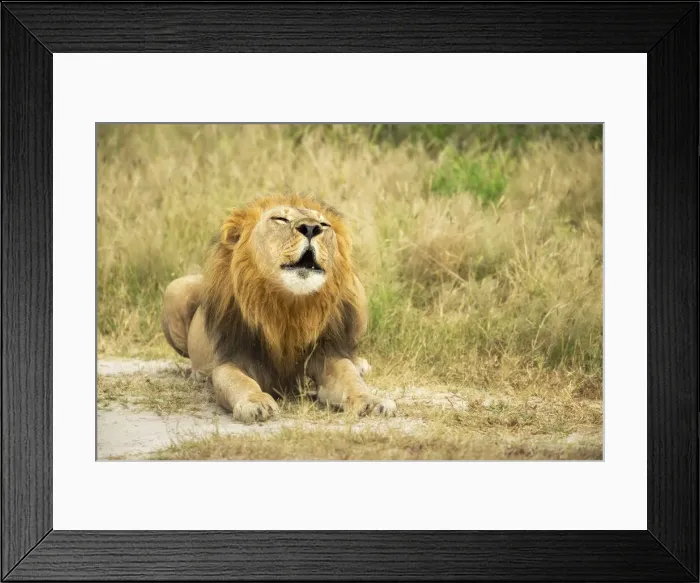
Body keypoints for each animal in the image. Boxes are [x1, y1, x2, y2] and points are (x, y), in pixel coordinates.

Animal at [161, 194, 396, 423]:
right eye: (280, 219)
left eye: (323, 224)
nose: (311, 228)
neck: (289, 304)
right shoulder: (232, 359)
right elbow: (239, 383)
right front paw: (255, 403)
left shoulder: (326, 355)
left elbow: (351, 379)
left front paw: (372, 401)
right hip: (174, 289)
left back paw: (360, 364)